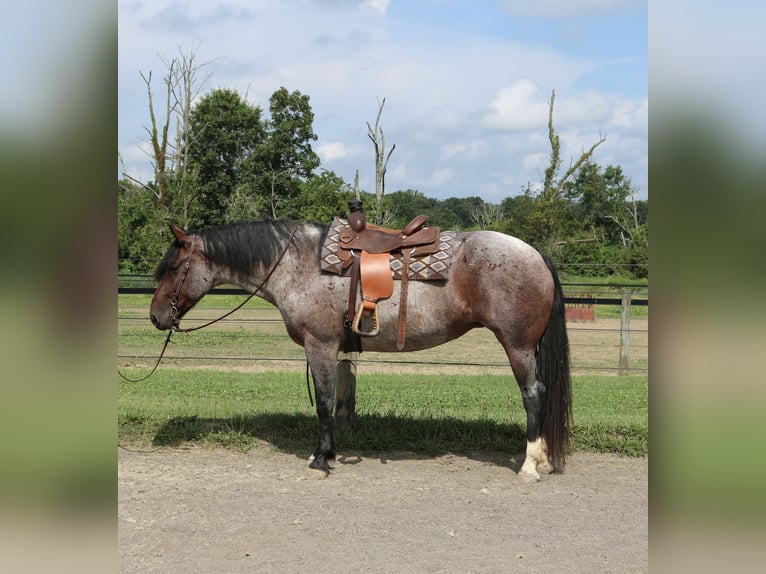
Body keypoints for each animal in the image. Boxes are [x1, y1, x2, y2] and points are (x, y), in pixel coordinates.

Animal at [149, 219, 571, 483]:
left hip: (517, 346)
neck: (297, 265)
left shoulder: (320, 346)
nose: (155, 317)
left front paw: (321, 458)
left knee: (533, 395)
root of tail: (534, 253)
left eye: (172, 268)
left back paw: (530, 464)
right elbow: (332, 402)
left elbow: (323, 403)